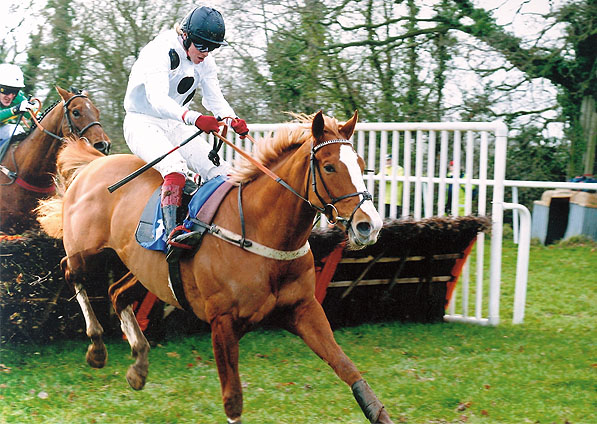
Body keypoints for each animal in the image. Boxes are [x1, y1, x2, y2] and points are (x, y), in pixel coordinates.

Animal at [36, 111, 392, 422]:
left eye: (361, 165)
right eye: (329, 167)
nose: (369, 225)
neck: (260, 230)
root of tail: (94, 165)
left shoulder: (304, 310)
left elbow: (348, 368)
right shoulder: (222, 323)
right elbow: (233, 399)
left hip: (144, 270)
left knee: (116, 292)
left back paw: (138, 363)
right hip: (87, 252)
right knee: (70, 271)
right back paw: (97, 346)